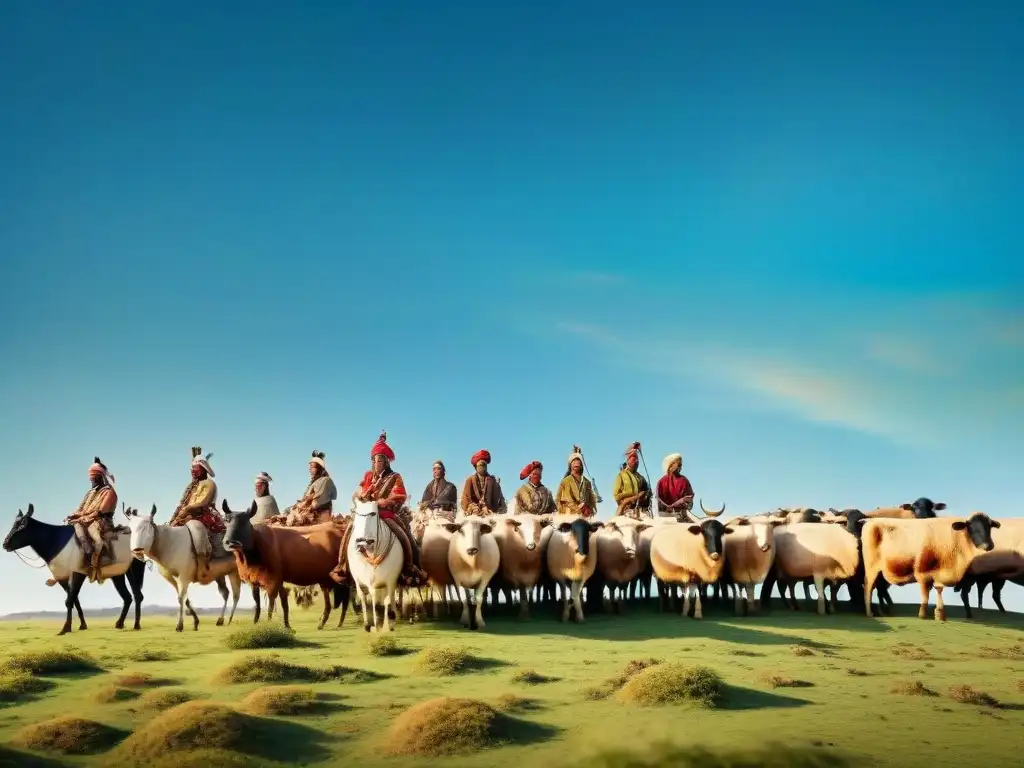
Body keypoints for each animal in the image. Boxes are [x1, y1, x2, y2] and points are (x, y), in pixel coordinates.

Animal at [222, 499, 350, 630]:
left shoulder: (273, 580)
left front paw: (269, 624)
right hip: (327, 579)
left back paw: (332, 623)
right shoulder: (256, 581)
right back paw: (329, 622)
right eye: (226, 520)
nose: (231, 542)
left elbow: (271, 604)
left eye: (245, 521)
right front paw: (263, 623)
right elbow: (264, 603)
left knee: (344, 598)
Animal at [348, 501, 403, 634]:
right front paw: (369, 624)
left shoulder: (391, 580)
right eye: (356, 513)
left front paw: (385, 625)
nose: (360, 541)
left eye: (373, 513)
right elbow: (364, 597)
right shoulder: (360, 581)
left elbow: (387, 599)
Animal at [856, 514, 999, 622]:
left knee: (879, 589)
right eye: (972, 527)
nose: (989, 545)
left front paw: (939, 614)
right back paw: (870, 613)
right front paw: (923, 614)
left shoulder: (938, 573)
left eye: (989, 527)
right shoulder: (922, 572)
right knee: (868, 587)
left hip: (881, 573)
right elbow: (925, 595)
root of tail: (870, 520)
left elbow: (938, 589)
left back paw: (883, 612)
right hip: (871, 568)